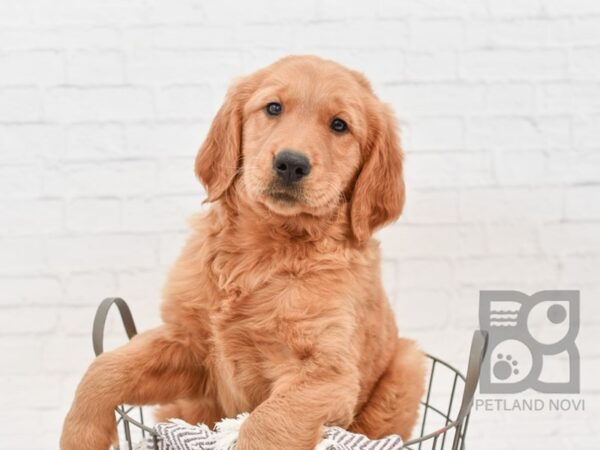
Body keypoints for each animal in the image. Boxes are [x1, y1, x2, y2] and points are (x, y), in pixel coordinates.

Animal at [61, 55, 426, 450]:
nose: (291, 163)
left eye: (340, 125)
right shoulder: (188, 344)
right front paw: (79, 435)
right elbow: (105, 368)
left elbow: (266, 422)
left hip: (408, 365)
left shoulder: (326, 375)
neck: (265, 249)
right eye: (273, 107)